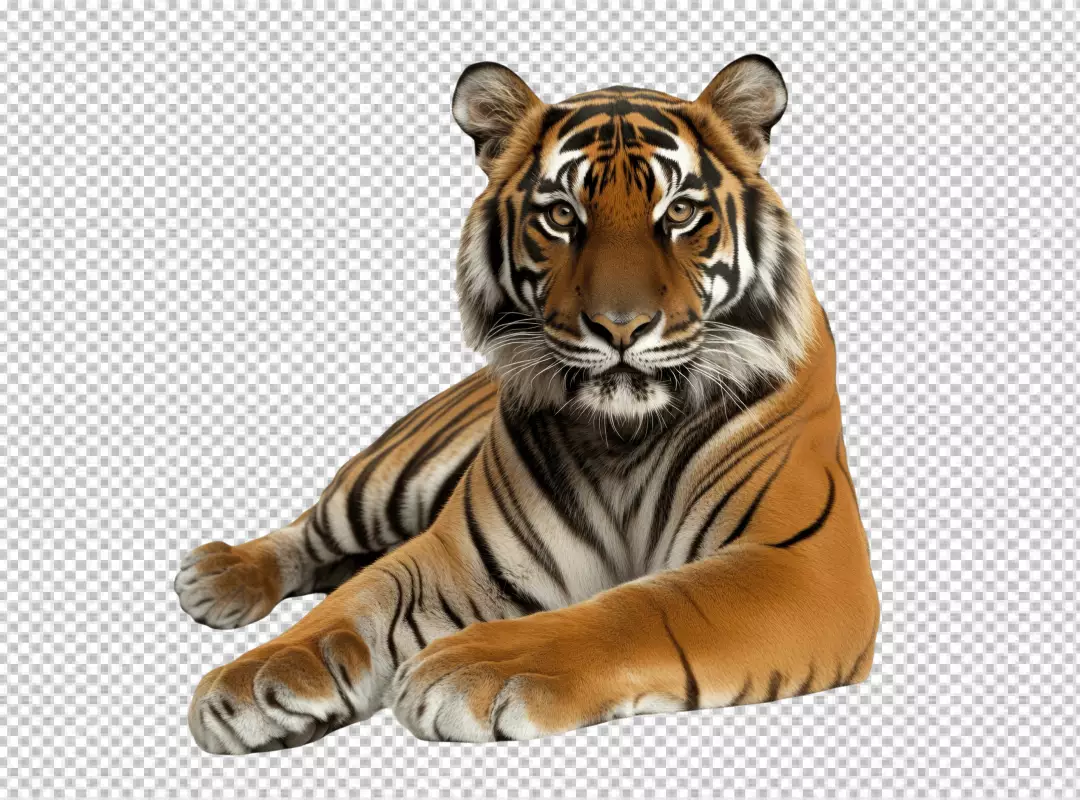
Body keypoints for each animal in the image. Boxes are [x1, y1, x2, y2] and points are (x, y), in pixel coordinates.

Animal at [175, 55, 880, 752]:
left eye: (680, 211)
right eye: (562, 216)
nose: (620, 327)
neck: (622, 437)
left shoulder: (801, 563)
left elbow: (644, 605)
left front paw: (473, 664)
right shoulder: (462, 556)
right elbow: (361, 599)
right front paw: (262, 673)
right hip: (388, 477)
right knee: (313, 531)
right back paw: (219, 576)